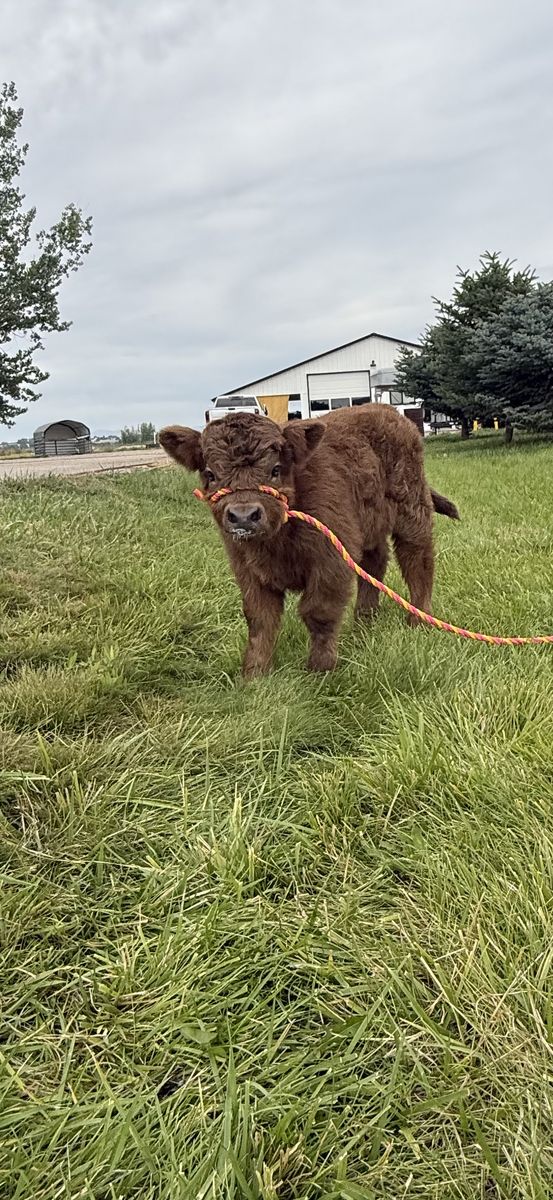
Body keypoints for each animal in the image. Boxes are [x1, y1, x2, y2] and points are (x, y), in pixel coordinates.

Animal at [160, 405, 459, 676]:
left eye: (276, 469)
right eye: (210, 474)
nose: (244, 516)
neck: (276, 543)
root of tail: (390, 412)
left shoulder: (330, 559)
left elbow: (318, 612)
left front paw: (320, 669)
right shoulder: (246, 568)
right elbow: (259, 619)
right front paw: (254, 675)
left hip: (412, 510)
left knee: (417, 559)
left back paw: (418, 619)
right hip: (369, 526)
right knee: (375, 563)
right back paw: (365, 620)